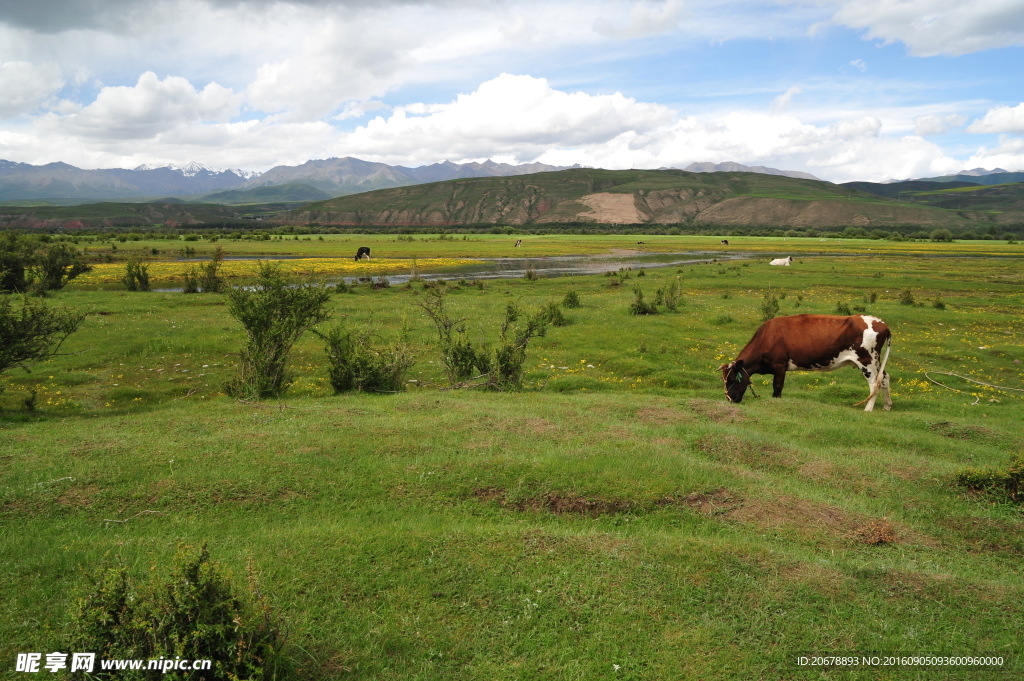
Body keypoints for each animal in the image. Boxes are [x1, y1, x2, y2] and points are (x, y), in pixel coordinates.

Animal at [716, 311, 892, 409]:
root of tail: (881, 323)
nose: (730, 400)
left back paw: (868, 409)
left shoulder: (780, 365)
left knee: (874, 383)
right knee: (884, 377)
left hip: (866, 360)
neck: (768, 336)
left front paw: (776, 402)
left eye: (732, 379)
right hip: (875, 361)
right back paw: (887, 406)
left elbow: (777, 387)